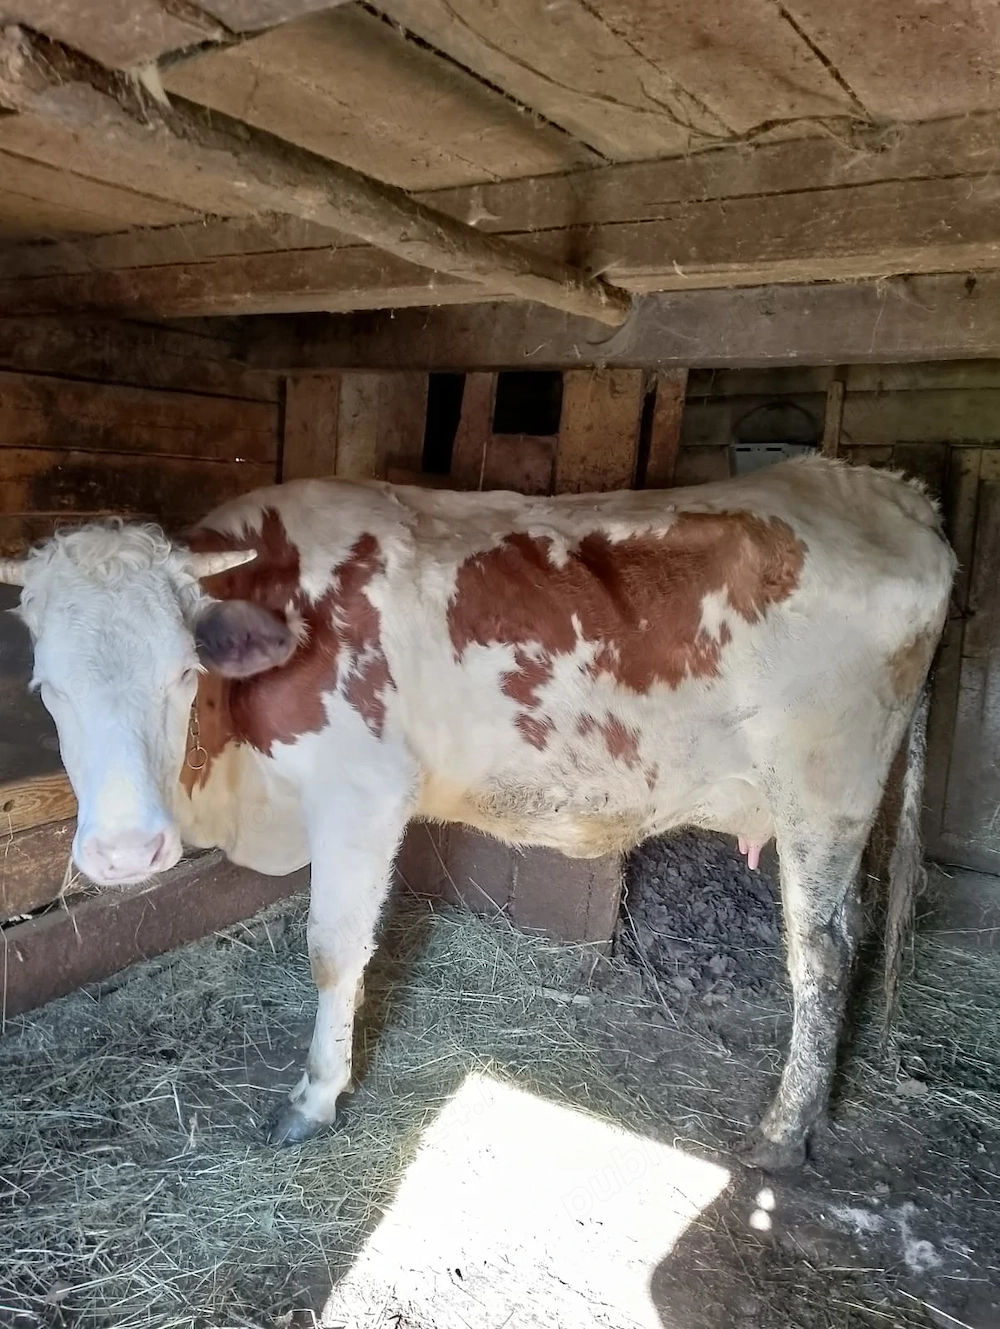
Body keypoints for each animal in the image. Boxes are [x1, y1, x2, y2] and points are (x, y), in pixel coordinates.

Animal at [0, 456, 954, 1171]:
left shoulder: (363, 793)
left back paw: (783, 1132)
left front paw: (316, 1096)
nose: (125, 853)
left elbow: (331, 952)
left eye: (181, 672)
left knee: (820, 954)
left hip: (823, 788)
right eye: (48, 685)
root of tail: (879, 485)